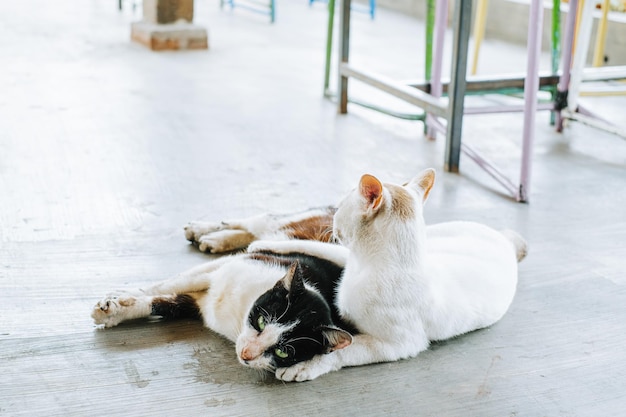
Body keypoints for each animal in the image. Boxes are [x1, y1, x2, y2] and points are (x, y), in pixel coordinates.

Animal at [91, 168, 528, 380]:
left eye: (285, 349)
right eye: (262, 318)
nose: (248, 354)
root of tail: (505, 242)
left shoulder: (397, 341)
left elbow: (164, 300)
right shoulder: (217, 274)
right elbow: (163, 286)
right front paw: (118, 302)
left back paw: (215, 236)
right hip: (284, 223)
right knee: (260, 221)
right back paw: (208, 230)